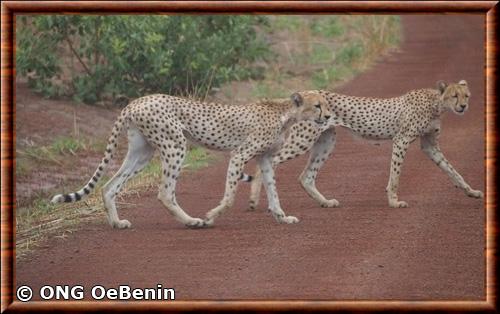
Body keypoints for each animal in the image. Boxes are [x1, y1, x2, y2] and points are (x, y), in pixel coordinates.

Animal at [50, 91, 332, 228]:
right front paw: (212, 215)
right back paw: (192, 221)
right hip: (175, 145)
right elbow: (230, 196)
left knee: (109, 187)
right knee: (165, 192)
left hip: (142, 152)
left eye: (326, 105)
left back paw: (117, 223)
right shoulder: (239, 154)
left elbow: (273, 190)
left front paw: (282, 217)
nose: (329, 116)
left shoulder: (264, 158)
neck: (285, 113)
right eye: (318, 105)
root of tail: (136, 101)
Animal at [248, 79, 482, 210]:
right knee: (267, 163)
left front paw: (471, 191)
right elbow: (395, 175)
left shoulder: (429, 145)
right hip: (302, 140)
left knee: (306, 176)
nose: (463, 106)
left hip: (327, 140)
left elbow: (452, 170)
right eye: (454, 96)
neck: (436, 104)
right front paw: (394, 202)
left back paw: (325, 202)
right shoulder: (401, 140)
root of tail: (304, 94)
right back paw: (254, 202)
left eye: (467, 95)